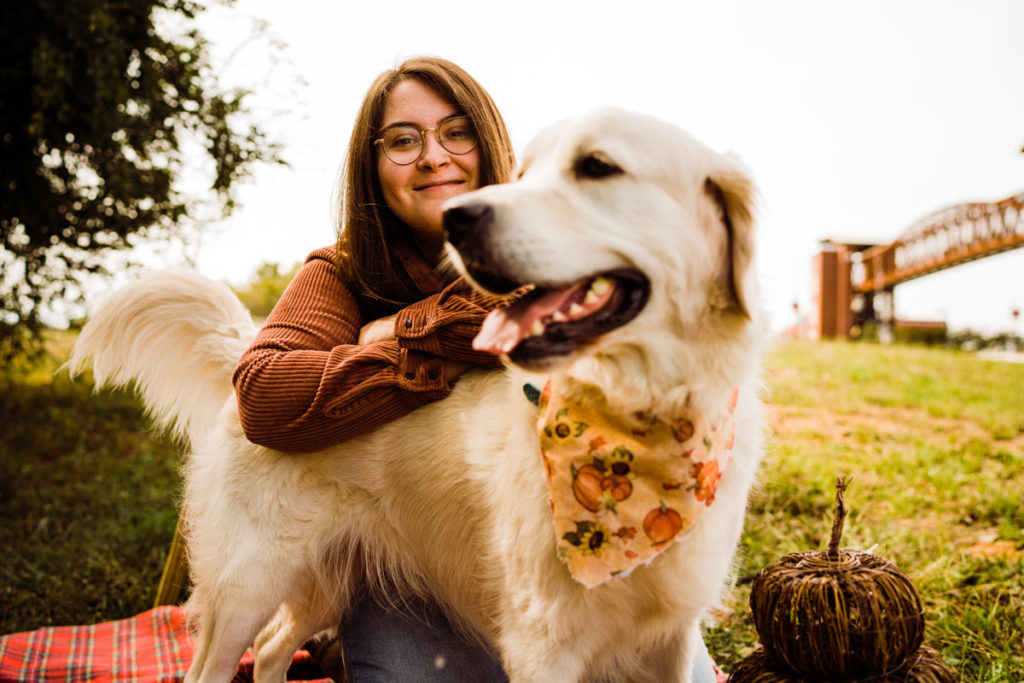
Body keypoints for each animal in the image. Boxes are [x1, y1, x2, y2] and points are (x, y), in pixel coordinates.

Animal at [70, 109, 761, 679]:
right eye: (524, 172)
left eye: (597, 166)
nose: (460, 217)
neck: (637, 419)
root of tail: (251, 354)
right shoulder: (541, 644)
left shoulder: (670, 634)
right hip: (248, 586)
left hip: (327, 581)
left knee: (270, 653)